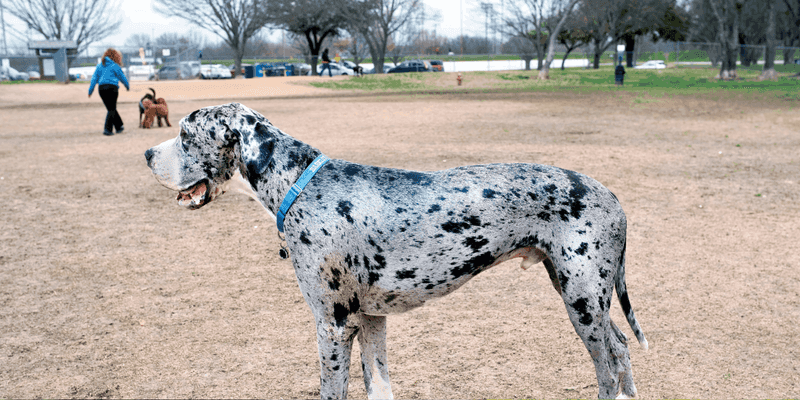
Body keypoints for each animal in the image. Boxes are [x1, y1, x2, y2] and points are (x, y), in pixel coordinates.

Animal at [145, 103, 648, 400]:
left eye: (186, 135)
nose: (147, 154)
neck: (298, 186)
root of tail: (613, 196)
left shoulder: (333, 327)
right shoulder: (370, 319)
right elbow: (380, 387)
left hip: (582, 302)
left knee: (608, 367)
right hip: (585, 297)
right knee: (623, 351)